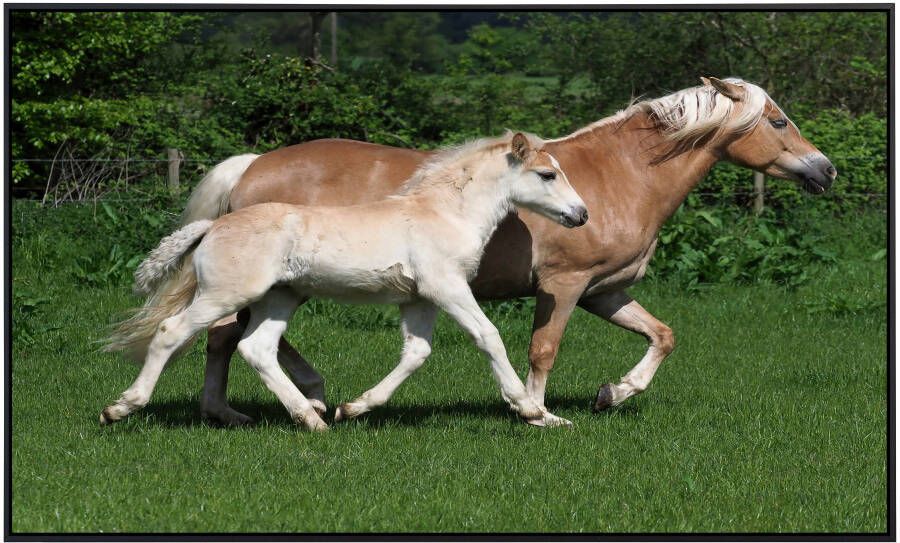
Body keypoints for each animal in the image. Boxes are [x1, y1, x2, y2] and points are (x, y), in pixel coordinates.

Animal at [103, 133, 592, 430]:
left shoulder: (419, 299)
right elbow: (488, 336)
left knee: (256, 348)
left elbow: (417, 353)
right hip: (226, 294)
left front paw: (354, 407)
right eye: (547, 174)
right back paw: (120, 407)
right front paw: (533, 411)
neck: (443, 213)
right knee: (171, 332)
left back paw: (312, 418)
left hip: (279, 300)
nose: (581, 214)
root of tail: (212, 226)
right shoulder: (447, 287)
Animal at [188, 76, 836, 428]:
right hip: (269, 283)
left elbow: (662, 335)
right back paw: (251, 408)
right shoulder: (564, 286)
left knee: (242, 338)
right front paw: (537, 411)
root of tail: (253, 165)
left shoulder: (605, 292)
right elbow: (543, 350)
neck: (616, 176)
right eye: (779, 121)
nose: (825, 170)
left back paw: (313, 397)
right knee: (226, 336)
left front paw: (613, 393)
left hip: (285, 285)